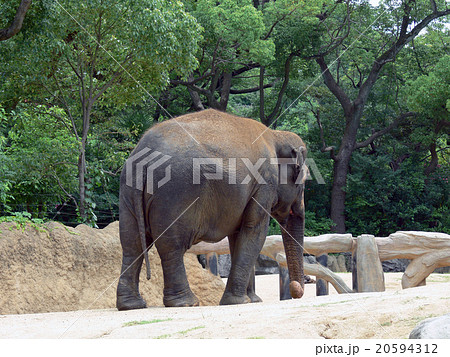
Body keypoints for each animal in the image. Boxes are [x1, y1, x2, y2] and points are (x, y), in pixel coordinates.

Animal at [116, 108, 308, 308]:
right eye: (303, 183)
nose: (296, 288)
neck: (276, 136)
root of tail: (144, 159)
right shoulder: (265, 184)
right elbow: (254, 230)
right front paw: (239, 301)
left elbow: (238, 235)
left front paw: (252, 300)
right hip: (175, 192)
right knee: (172, 246)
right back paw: (187, 303)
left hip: (128, 190)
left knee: (132, 243)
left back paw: (132, 305)